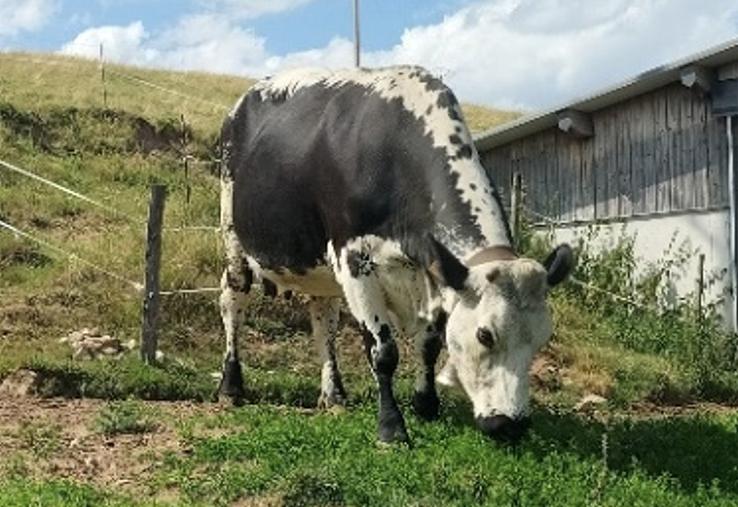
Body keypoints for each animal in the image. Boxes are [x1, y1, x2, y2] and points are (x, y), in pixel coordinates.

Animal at [217, 66, 574, 444]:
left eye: (541, 339)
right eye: (485, 335)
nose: (511, 424)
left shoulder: (432, 272)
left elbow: (429, 344)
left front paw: (426, 404)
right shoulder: (355, 262)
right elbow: (383, 351)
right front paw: (391, 426)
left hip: (320, 269)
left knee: (323, 319)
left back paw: (333, 395)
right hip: (234, 236)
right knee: (233, 300)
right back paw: (230, 387)